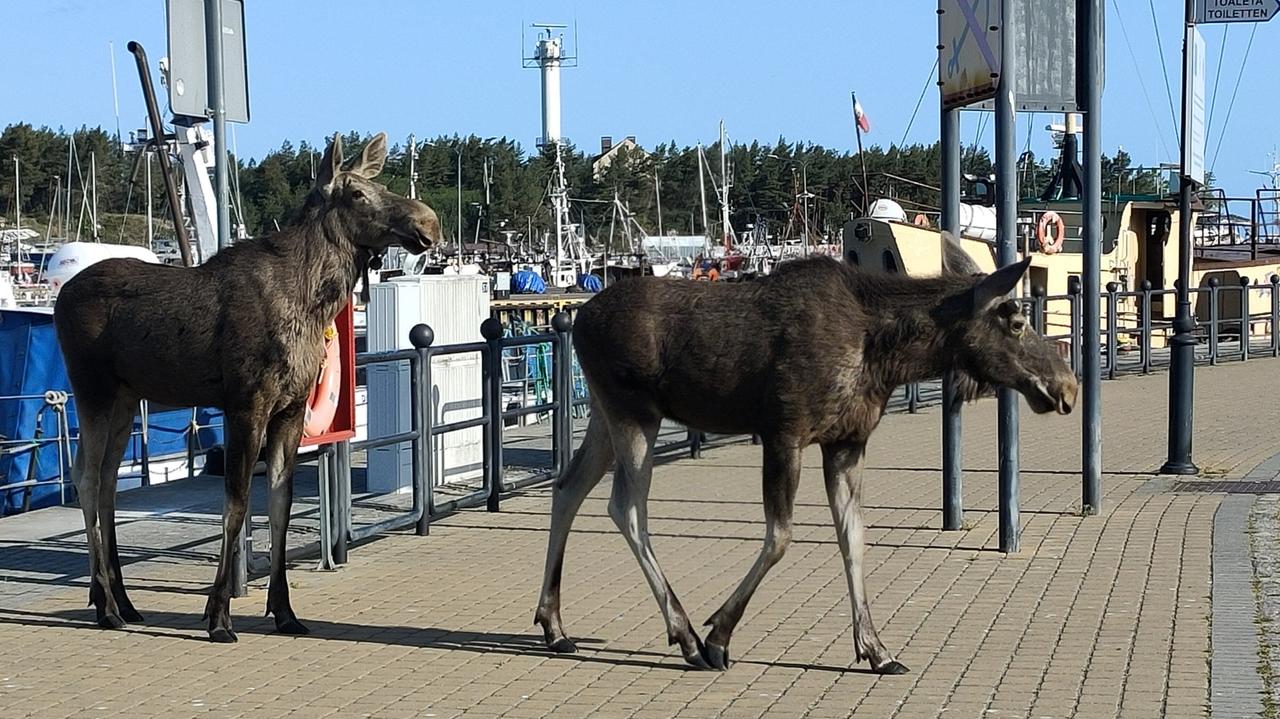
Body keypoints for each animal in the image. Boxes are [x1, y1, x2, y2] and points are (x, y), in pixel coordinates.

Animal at [55, 131, 440, 639]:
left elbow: (280, 503)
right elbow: (236, 506)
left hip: (125, 398)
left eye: (380, 186)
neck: (310, 302)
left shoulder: (291, 409)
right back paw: (105, 607)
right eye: (357, 193)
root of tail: (59, 296)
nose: (429, 223)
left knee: (106, 483)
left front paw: (285, 611)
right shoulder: (245, 404)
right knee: (83, 476)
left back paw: (121, 600)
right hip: (91, 388)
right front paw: (218, 615)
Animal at [532, 230, 1080, 670]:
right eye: (1014, 322)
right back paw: (684, 635)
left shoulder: (847, 442)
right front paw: (719, 634)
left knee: (568, 486)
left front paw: (876, 649)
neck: (886, 356)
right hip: (633, 413)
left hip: (604, 414)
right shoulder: (784, 432)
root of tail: (578, 318)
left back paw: (554, 626)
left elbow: (853, 538)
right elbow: (779, 537)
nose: (1068, 386)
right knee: (625, 506)